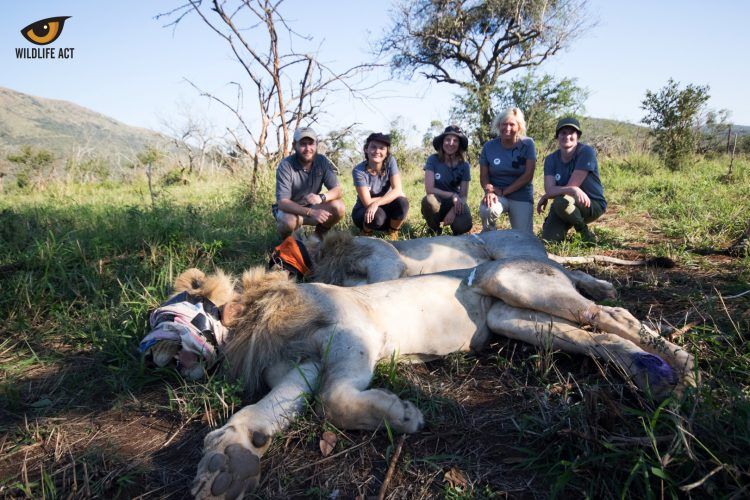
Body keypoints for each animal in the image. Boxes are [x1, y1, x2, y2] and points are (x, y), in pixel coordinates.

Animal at [187, 258, 700, 500]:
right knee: (598, 338)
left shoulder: (355, 335)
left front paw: (402, 415)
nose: (173, 360)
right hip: (514, 320)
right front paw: (226, 465)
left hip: (513, 282)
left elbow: (333, 400)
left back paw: (681, 369)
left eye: (193, 314)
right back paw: (654, 378)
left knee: (610, 314)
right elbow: (265, 409)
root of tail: (554, 262)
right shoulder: (305, 366)